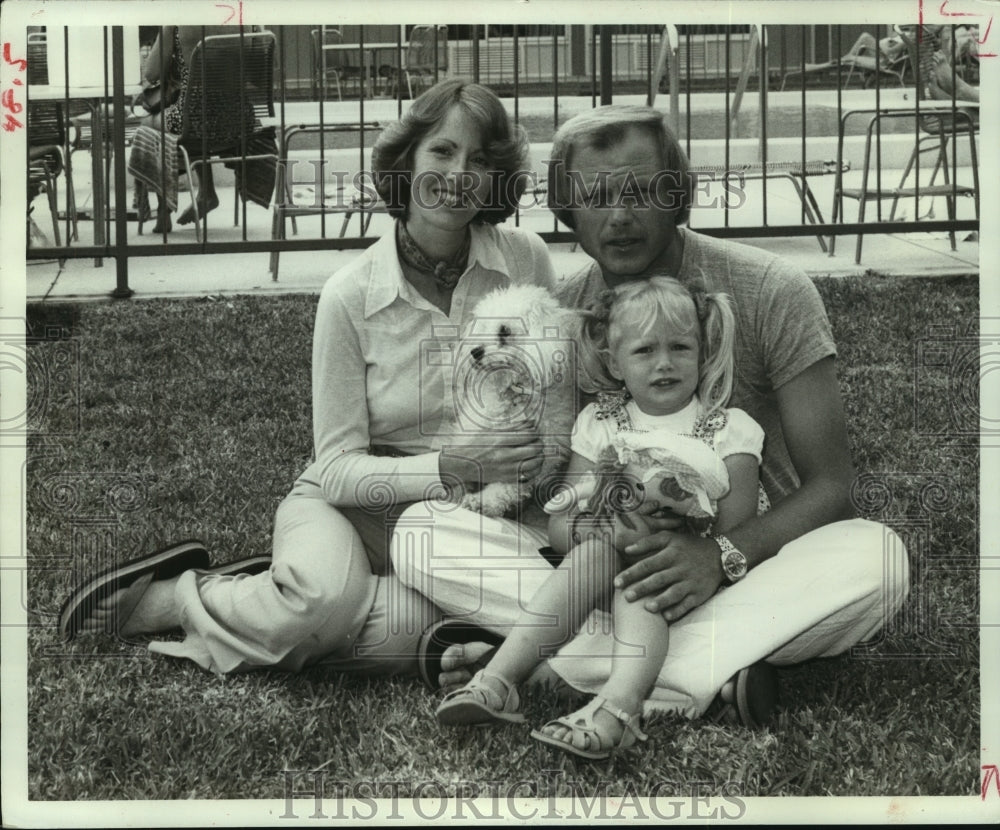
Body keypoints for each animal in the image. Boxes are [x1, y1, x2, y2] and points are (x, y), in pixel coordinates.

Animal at [452, 286, 580, 520]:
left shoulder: (533, 461)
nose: (474, 351)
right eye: (482, 327)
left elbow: (506, 487)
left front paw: (483, 502)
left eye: (504, 330)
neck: (513, 393)